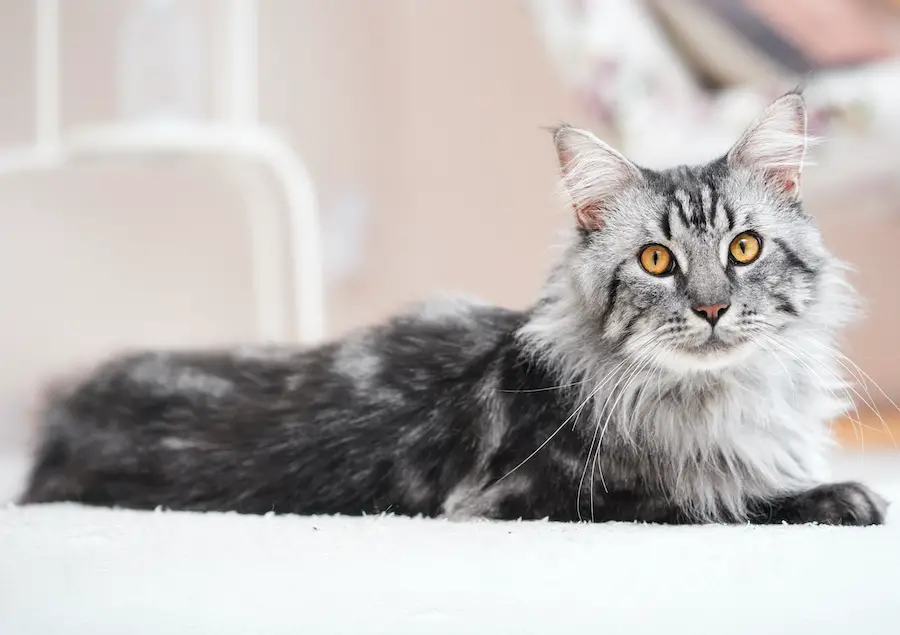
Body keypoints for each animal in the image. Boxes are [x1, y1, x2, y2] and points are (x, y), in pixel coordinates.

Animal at [19, 92, 884, 524]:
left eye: (744, 248)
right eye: (656, 261)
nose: (710, 308)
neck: (715, 398)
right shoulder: (533, 496)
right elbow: (712, 498)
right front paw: (841, 497)